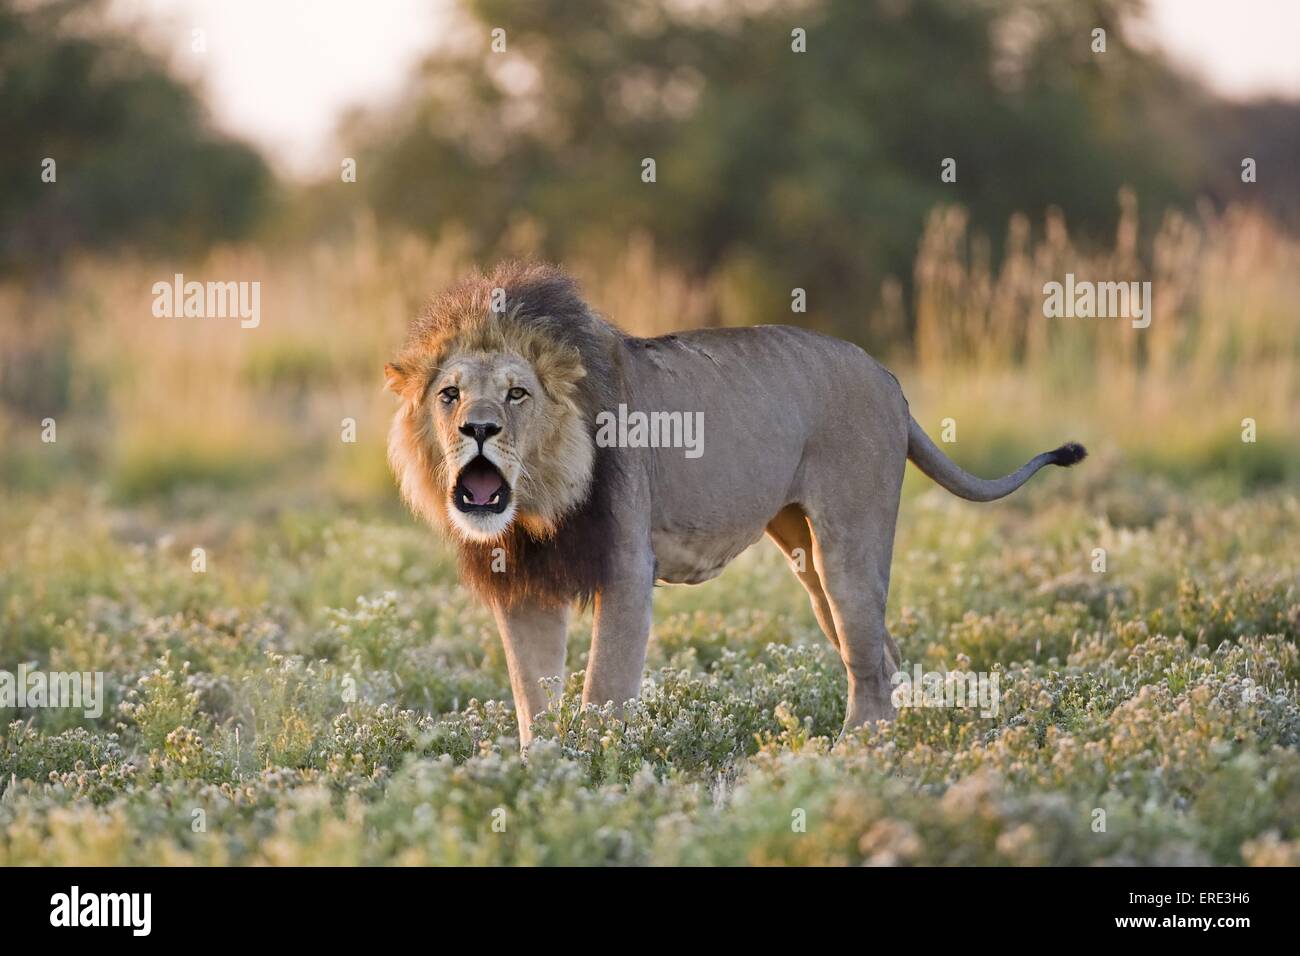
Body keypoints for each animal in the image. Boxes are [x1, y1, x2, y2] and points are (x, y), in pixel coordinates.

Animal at [385, 262, 1086, 746]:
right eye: (449, 395)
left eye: (517, 394)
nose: (478, 429)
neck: (536, 505)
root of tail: (889, 378)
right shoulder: (524, 587)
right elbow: (533, 698)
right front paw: (544, 775)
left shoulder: (625, 565)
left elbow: (603, 687)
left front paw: (601, 767)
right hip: (805, 554)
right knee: (882, 656)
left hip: (848, 545)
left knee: (868, 661)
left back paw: (851, 758)